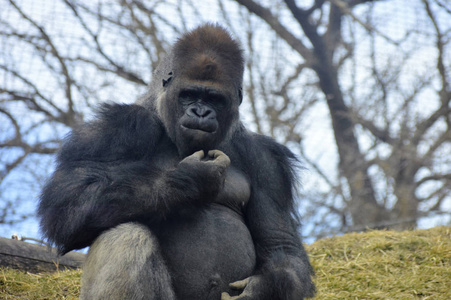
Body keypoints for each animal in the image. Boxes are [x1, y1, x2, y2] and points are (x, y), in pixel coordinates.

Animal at [38, 24, 314, 300]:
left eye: (215, 99)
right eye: (189, 94)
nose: (201, 112)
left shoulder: (267, 162)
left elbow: (281, 245)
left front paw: (262, 289)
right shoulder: (115, 128)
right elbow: (68, 202)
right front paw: (193, 178)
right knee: (127, 236)